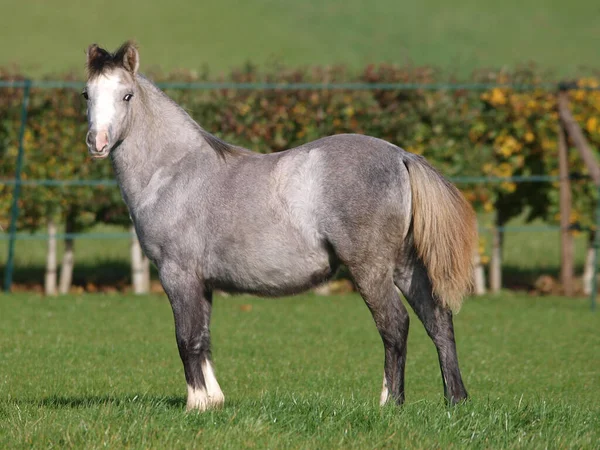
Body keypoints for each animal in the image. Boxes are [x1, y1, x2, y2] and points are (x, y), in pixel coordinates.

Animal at [83, 42, 478, 412]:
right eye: (87, 94)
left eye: (127, 95)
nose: (97, 142)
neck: (174, 171)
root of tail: (400, 156)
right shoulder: (203, 282)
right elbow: (204, 337)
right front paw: (214, 401)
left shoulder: (177, 274)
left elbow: (187, 338)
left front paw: (195, 404)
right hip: (405, 267)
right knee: (438, 321)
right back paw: (455, 400)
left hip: (371, 269)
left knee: (395, 326)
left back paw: (390, 403)